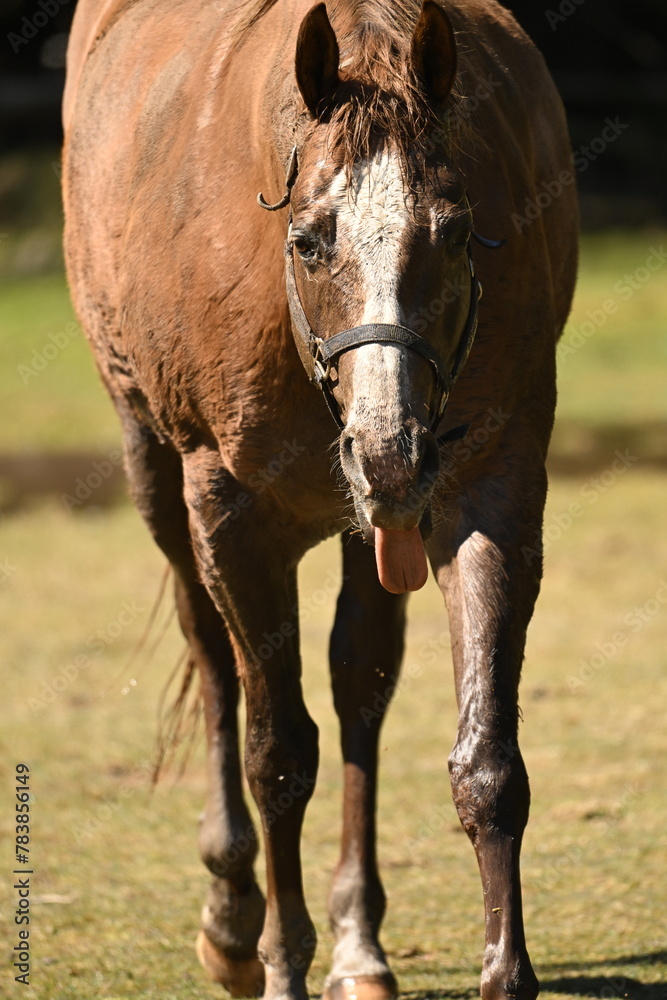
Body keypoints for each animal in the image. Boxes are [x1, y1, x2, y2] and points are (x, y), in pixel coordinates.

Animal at [62, 0, 578, 997]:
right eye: (307, 240)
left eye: (454, 230)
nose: (387, 448)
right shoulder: (228, 511)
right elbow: (276, 756)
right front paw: (273, 959)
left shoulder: (489, 489)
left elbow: (485, 761)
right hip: (155, 463)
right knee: (214, 660)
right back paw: (231, 916)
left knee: (358, 684)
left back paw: (357, 940)